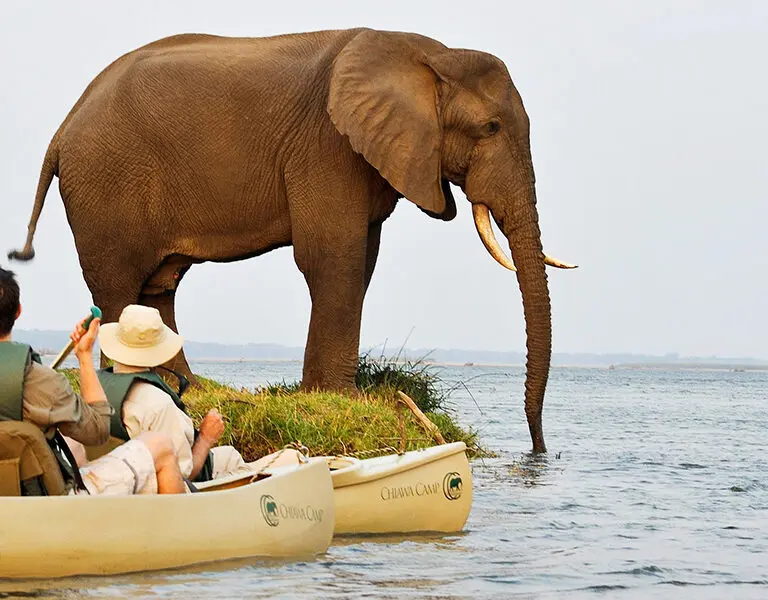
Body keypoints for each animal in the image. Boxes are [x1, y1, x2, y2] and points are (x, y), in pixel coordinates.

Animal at [9, 28, 575, 453]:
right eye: (491, 127)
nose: (539, 450)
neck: (429, 54)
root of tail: (61, 130)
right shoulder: (327, 145)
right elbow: (333, 256)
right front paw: (339, 397)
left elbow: (361, 260)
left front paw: (328, 393)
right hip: (106, 188)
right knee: (122, 287)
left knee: (157, 287)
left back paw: (186, 386)